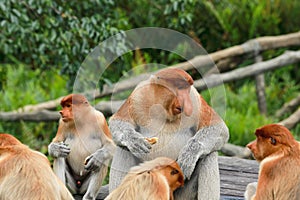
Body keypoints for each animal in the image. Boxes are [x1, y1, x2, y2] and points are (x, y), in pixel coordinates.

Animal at [109, 67, 229, 198]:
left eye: (187, 89)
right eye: (180, 87)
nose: (186, 103)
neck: (164, 110)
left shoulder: (195, 99)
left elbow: (219, 127)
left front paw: (189, 155)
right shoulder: (138, 96)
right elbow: (117, 121)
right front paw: (135, 141)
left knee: (208, 155)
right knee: (124, 148)